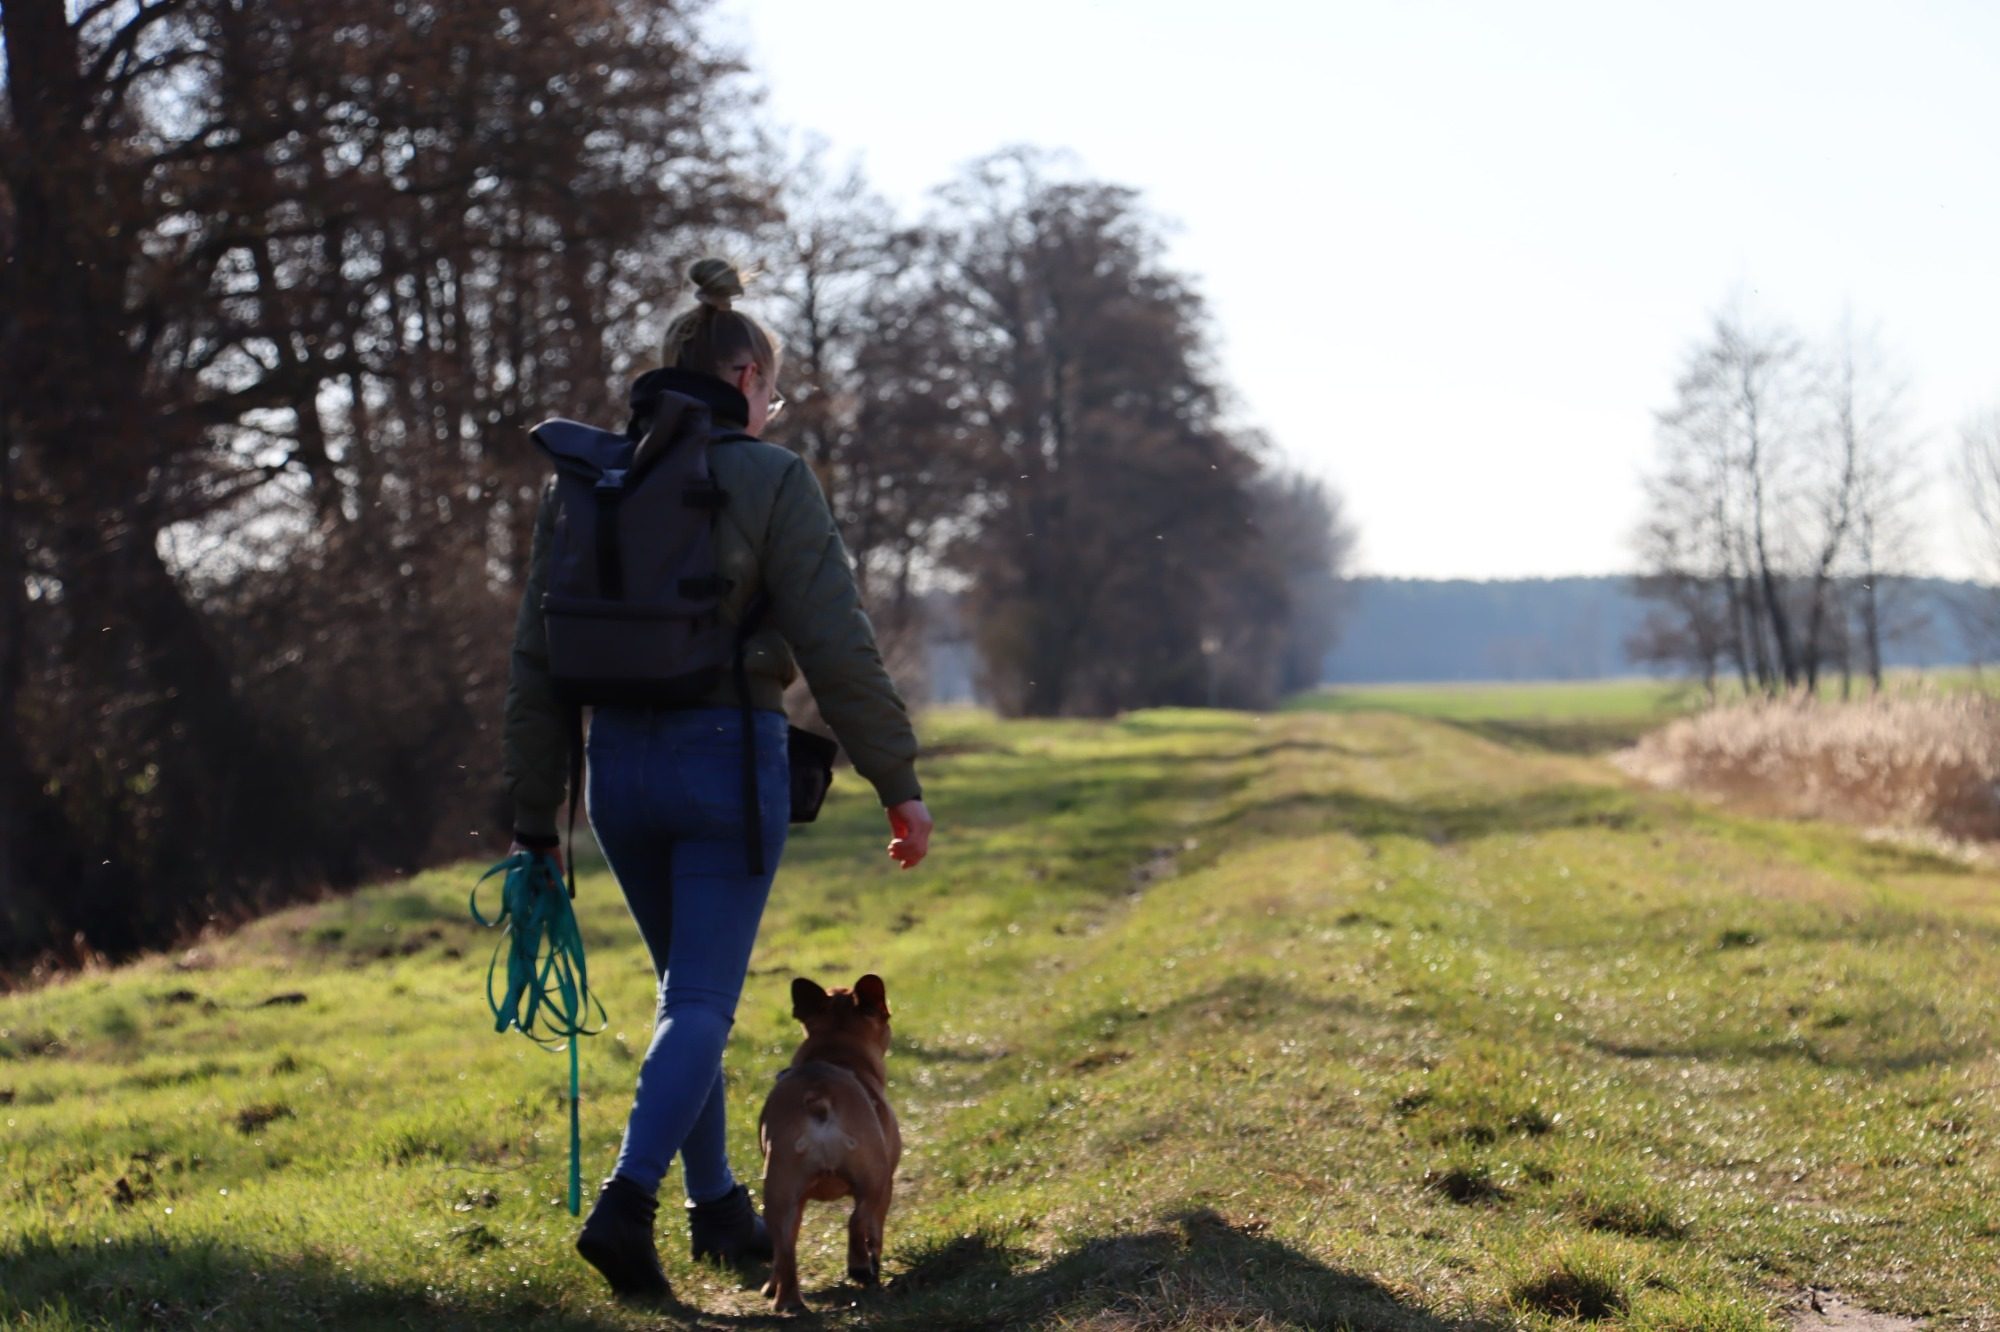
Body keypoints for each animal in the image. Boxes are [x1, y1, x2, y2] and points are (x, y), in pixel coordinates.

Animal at [752, 972, 904, 1312]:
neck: (834, 1053)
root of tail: (818, 1098)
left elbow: (784, 1250)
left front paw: (769, 1285)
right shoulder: (886, 1185)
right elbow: (875, 1229)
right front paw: (873, 1265)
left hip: (779, 1194)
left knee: (785, 1249)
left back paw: (788, 1302)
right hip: (873, 1178)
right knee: (858, 1220)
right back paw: (860, 1267)